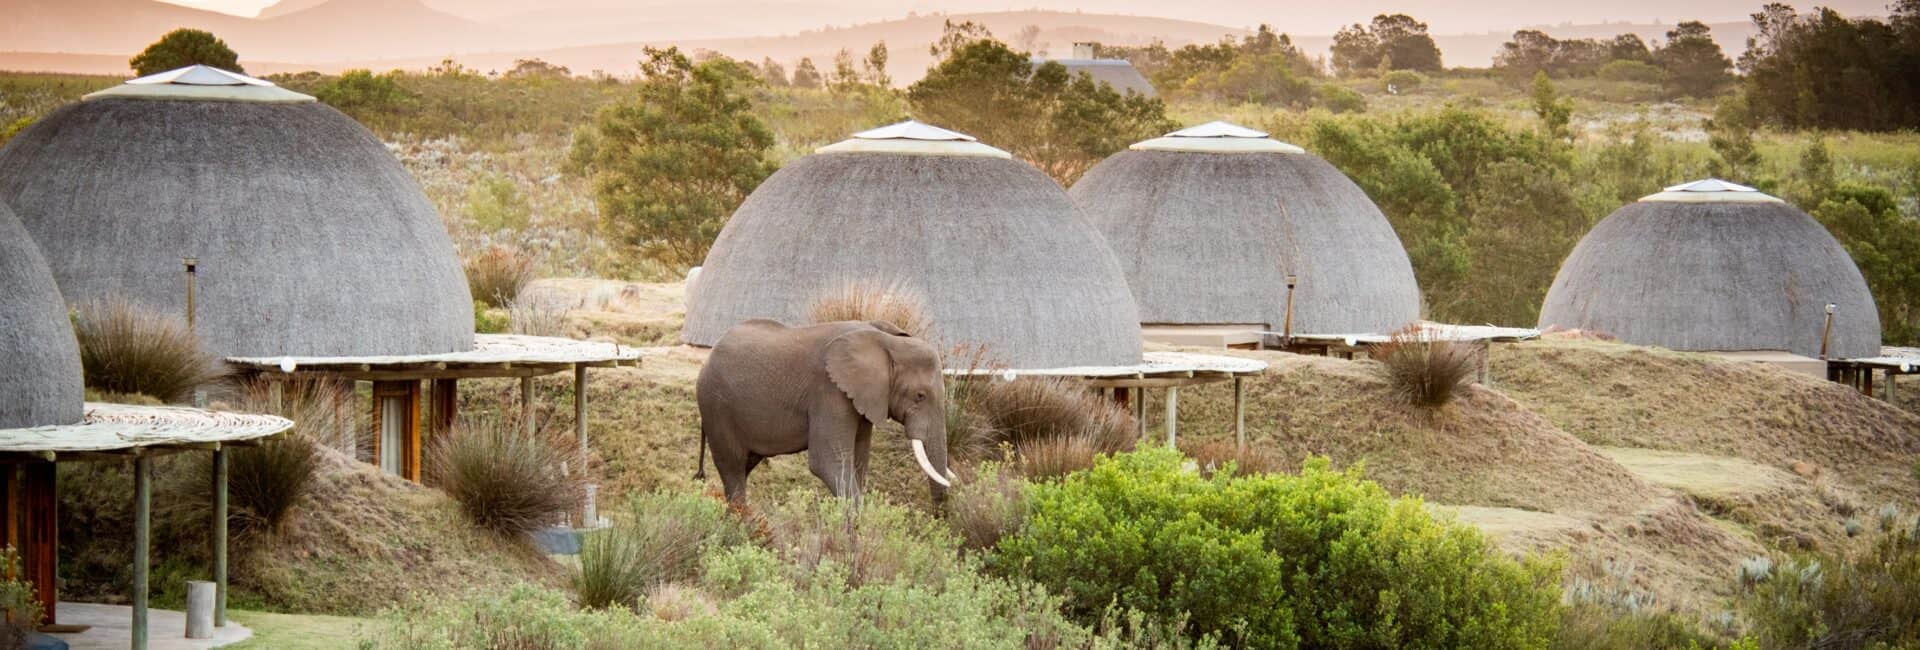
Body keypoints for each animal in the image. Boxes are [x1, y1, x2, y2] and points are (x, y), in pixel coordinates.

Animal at [698, 320, 952, 502]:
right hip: (716, 407)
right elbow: (826, 462)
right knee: (733, 468)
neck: (885, 341)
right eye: (920, 396)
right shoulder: (830, 392)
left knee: (744, 467)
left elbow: (859, 461)